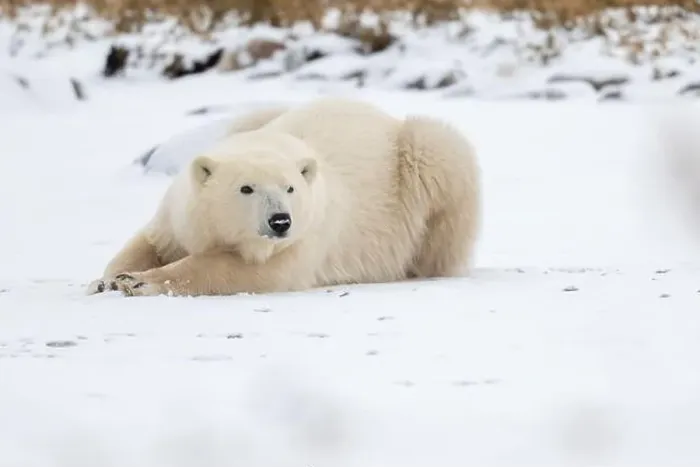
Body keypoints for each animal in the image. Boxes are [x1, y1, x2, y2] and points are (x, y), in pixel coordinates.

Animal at [87, 96, 481, 297]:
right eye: (246, 188)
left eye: (290, 188)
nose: (280, 221)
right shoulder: (179, 212)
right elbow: (151, 241)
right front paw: (110, 278)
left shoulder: (308, 236)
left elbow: (246, 270)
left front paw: (140, 282)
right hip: (254, 117)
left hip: (422, 160)